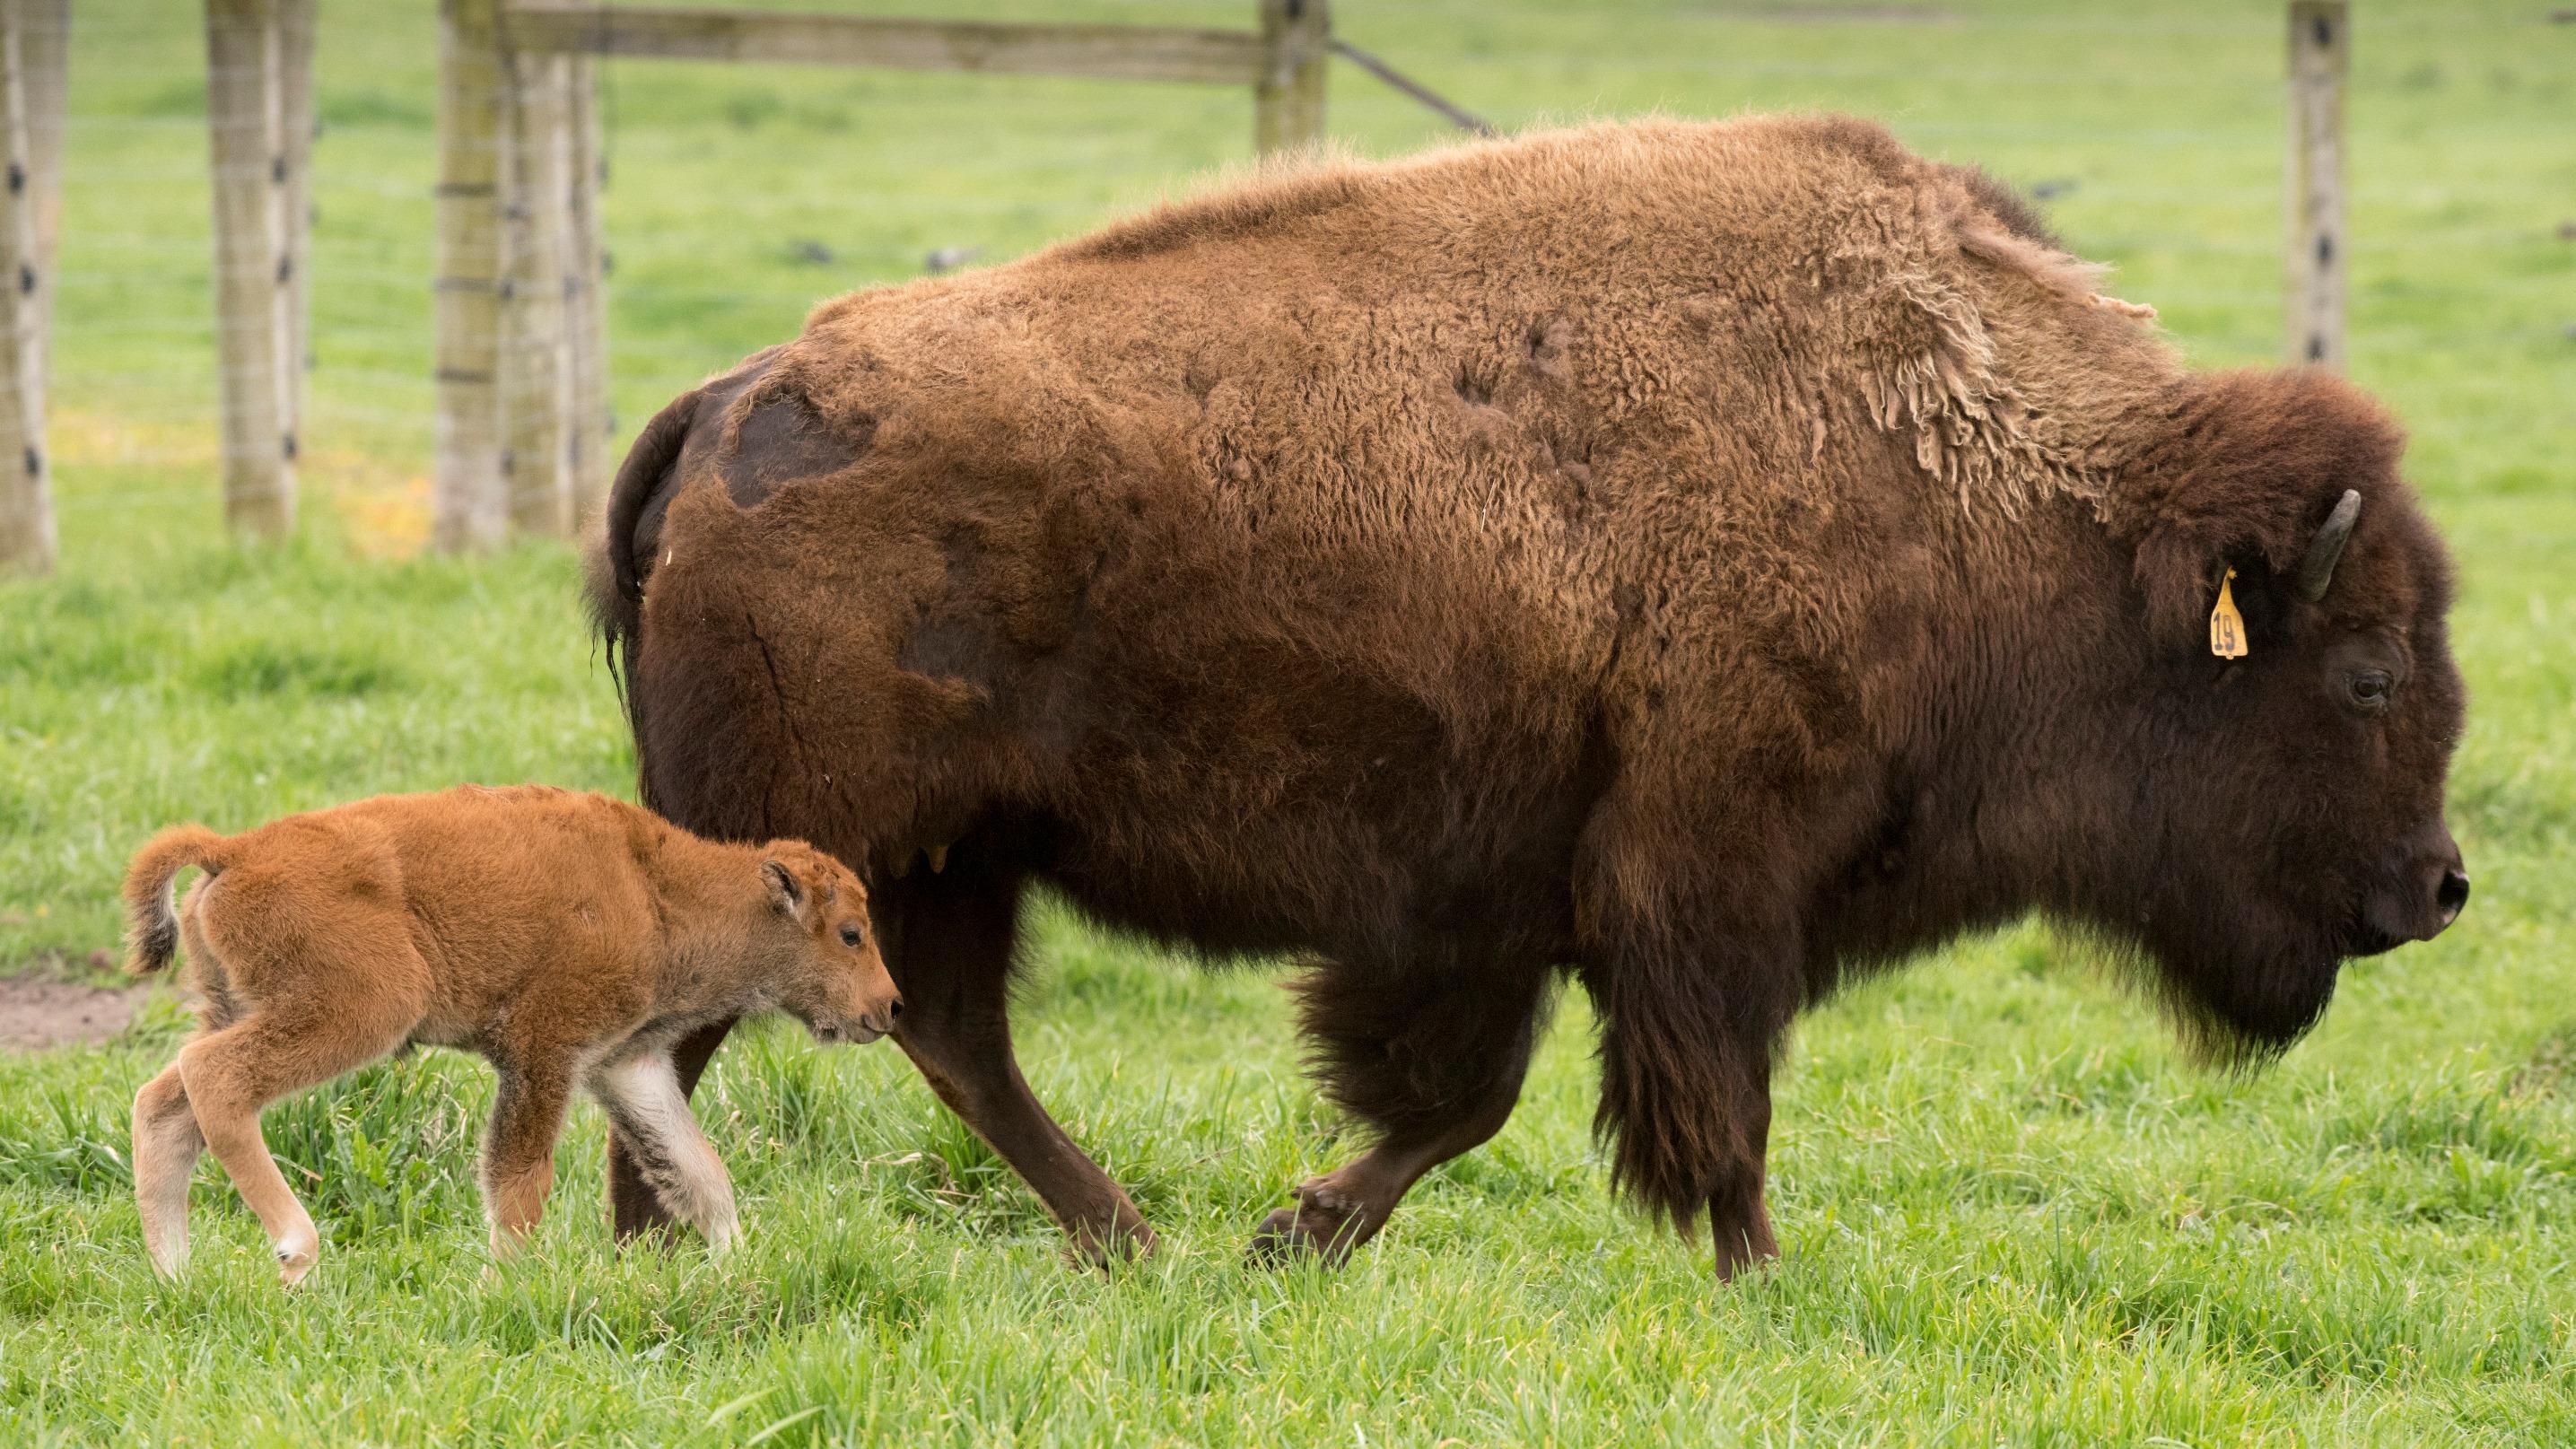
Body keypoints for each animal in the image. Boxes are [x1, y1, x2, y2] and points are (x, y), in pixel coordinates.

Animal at [120, 787, 906, 1287]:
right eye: (850, 932)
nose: (890, 1006)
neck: (655, 888)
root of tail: (236, 849)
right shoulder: (543, 1053)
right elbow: (521, 1181)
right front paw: (508, 1287)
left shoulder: (624, 1063)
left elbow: (700, 1171)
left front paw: (737, 1265)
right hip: (362, 1009)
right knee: (216, 1079)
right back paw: (296, 1250)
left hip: (239, 1006)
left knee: (166, 1104)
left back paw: (174, 1277)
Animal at [592, 116, 2462, 1281]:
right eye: (2365, 672)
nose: (2439, 888)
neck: (1971, 470)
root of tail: (733, 395)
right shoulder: (1703, 882)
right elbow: (1706, 1101)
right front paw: (1756, 1277)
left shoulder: (1503, 900)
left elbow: (1461, 1095)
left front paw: (1297, 1235)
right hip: (829, 838)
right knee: (708, 1034)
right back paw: (661, 1255)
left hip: (948, 855)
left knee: (941, 1035)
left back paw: (1097, 1244)